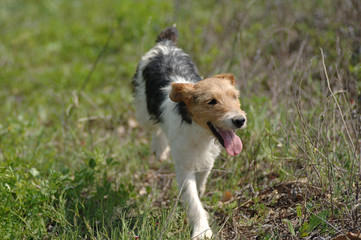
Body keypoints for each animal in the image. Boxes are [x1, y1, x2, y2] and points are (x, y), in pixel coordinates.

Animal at [132, 25, 248, 238]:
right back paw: (160, 149)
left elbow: (204, 172)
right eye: (211, 101)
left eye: (235, 97)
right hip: (142, 109)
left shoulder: (208, 154)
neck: (197, 128)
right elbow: (193, 201)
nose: (239, 120)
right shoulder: (184, 166)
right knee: (154, 128)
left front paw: (201, 189)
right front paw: (202, 231)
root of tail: (165, 43)